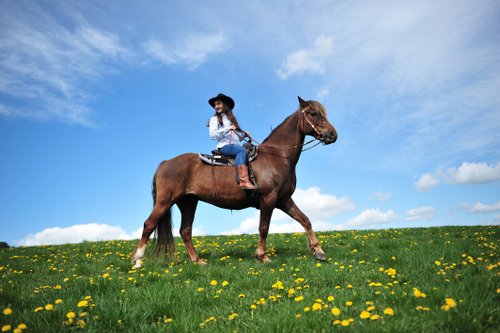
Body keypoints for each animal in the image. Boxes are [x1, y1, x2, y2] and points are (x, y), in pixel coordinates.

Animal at [131, 96, 338, 268]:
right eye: (313, 113)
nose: (332, 134)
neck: (278, 156)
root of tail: (166, 162)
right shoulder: (269, 199)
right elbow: (264, 227)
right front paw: (262, 256)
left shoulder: (284, 200)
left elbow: (305, 220)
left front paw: (319, 251)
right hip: (165, 201)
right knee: (149, 224)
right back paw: (138, 260)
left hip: (188, 202)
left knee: (186, 231)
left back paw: (197, 260)